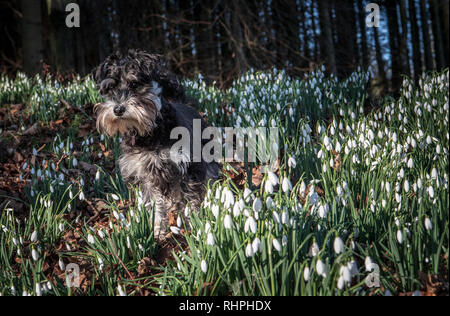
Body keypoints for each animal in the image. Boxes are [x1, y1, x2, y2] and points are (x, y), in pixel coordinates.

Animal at [93, 50, 218, 239]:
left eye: (134, 84)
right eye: (110, 88)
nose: (118, 109)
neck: (150, 133)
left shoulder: (187, 167)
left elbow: (190, 198)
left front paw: (193, 223)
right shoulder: (145, 174)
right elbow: (154, 203)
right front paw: (157, 228)